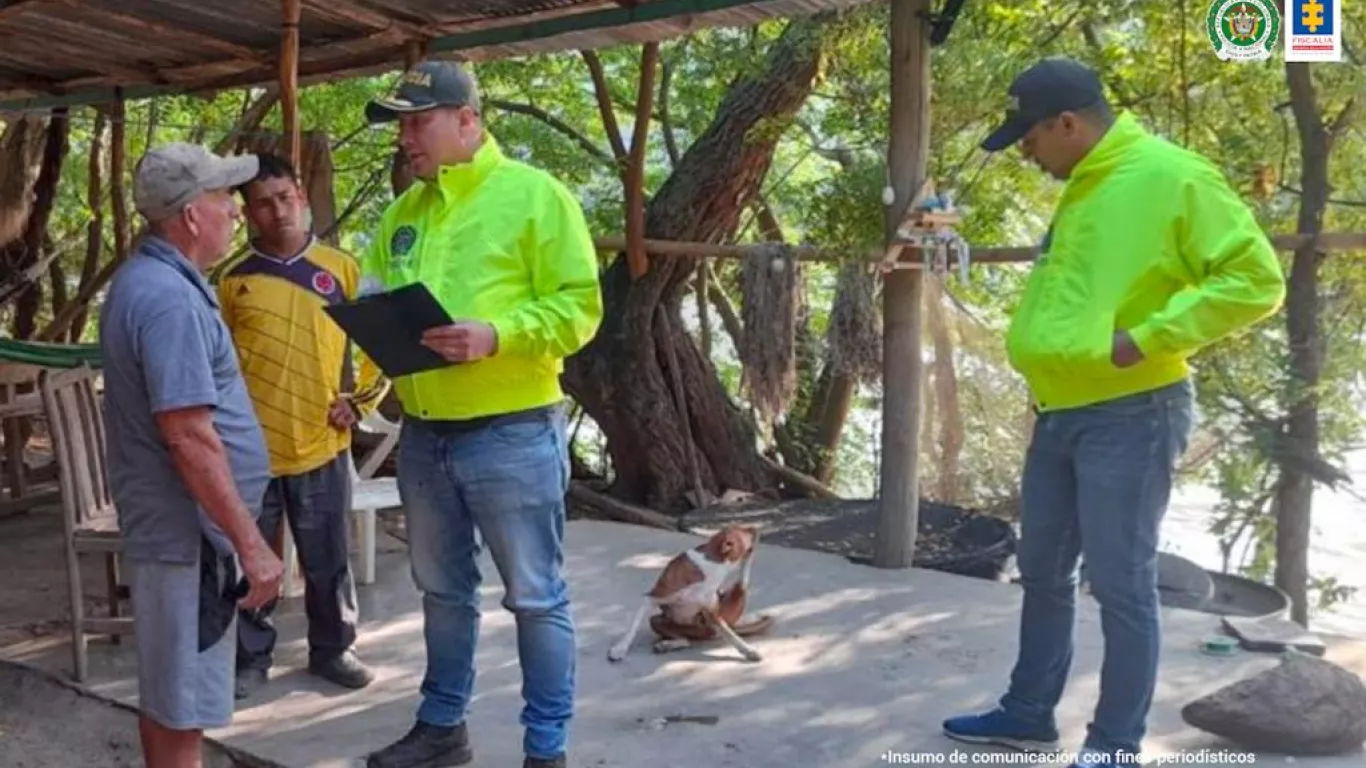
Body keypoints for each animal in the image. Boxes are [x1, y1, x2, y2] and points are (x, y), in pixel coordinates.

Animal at [611, 522, 781, 661]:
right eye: (745, 531)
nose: (756, 528)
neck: (715, 565)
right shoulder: (651, 597)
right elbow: (631, 629)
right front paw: (619, 649)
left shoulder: (713, 613)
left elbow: (732, 636)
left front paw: (748, 650)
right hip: (657, 621)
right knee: (686, 640)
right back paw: (666, 645)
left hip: (721, 614)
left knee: (742, 584)